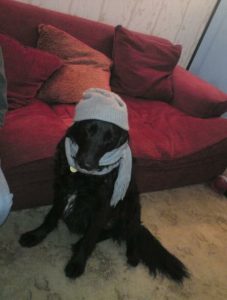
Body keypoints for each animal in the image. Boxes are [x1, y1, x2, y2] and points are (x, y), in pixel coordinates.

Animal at [19, 119, 189, 282]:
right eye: (88, 129)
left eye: (110, 138)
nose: (87, 164)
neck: (84, 177)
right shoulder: (61, 190)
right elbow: (51, 217)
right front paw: (35, 235)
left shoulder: (102, 207)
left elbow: (90, 238)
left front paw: (77, 263)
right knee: (112, 231)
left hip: (131, 206)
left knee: (130, 231)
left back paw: (132, 254)